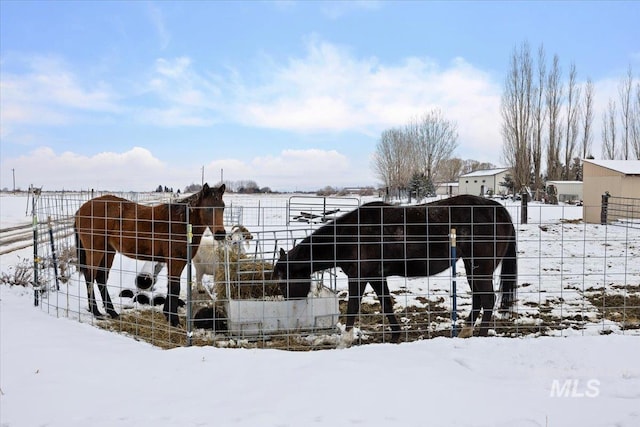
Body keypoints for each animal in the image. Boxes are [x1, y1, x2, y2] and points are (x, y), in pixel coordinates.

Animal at [75, 182, 226, 326]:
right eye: (208, 208)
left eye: (223, 207)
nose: (220, 233)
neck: (180, 222)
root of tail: (81, 209)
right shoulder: (175, 261)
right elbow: (174, 288)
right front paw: (174, 320)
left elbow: (171, 287)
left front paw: (168, 315)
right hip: (96, 251)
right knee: (90, 277)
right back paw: (96, 311)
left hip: (108, 251)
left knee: (101, 278)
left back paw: (112, 312)